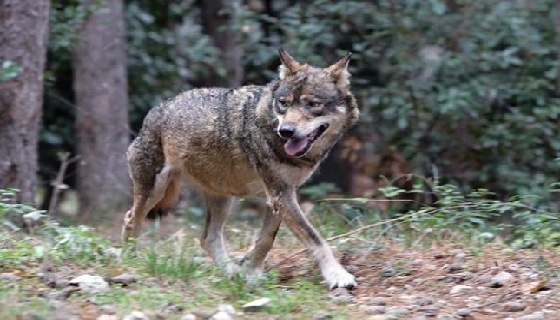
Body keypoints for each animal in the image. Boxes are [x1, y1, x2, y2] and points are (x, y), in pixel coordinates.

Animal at [122, 49, 358, 290]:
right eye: (283, 103)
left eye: (312, 104)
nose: (286, 131)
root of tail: (156, 109)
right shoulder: (280, 195)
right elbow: (315, 238)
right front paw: (337, 275)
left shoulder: (280, 196)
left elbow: (266, 240)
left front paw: (249, 272)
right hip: (155, 190)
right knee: (130, 219)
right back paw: (130, 262)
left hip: (223, 198)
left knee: (208, 239)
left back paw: (231, 273)